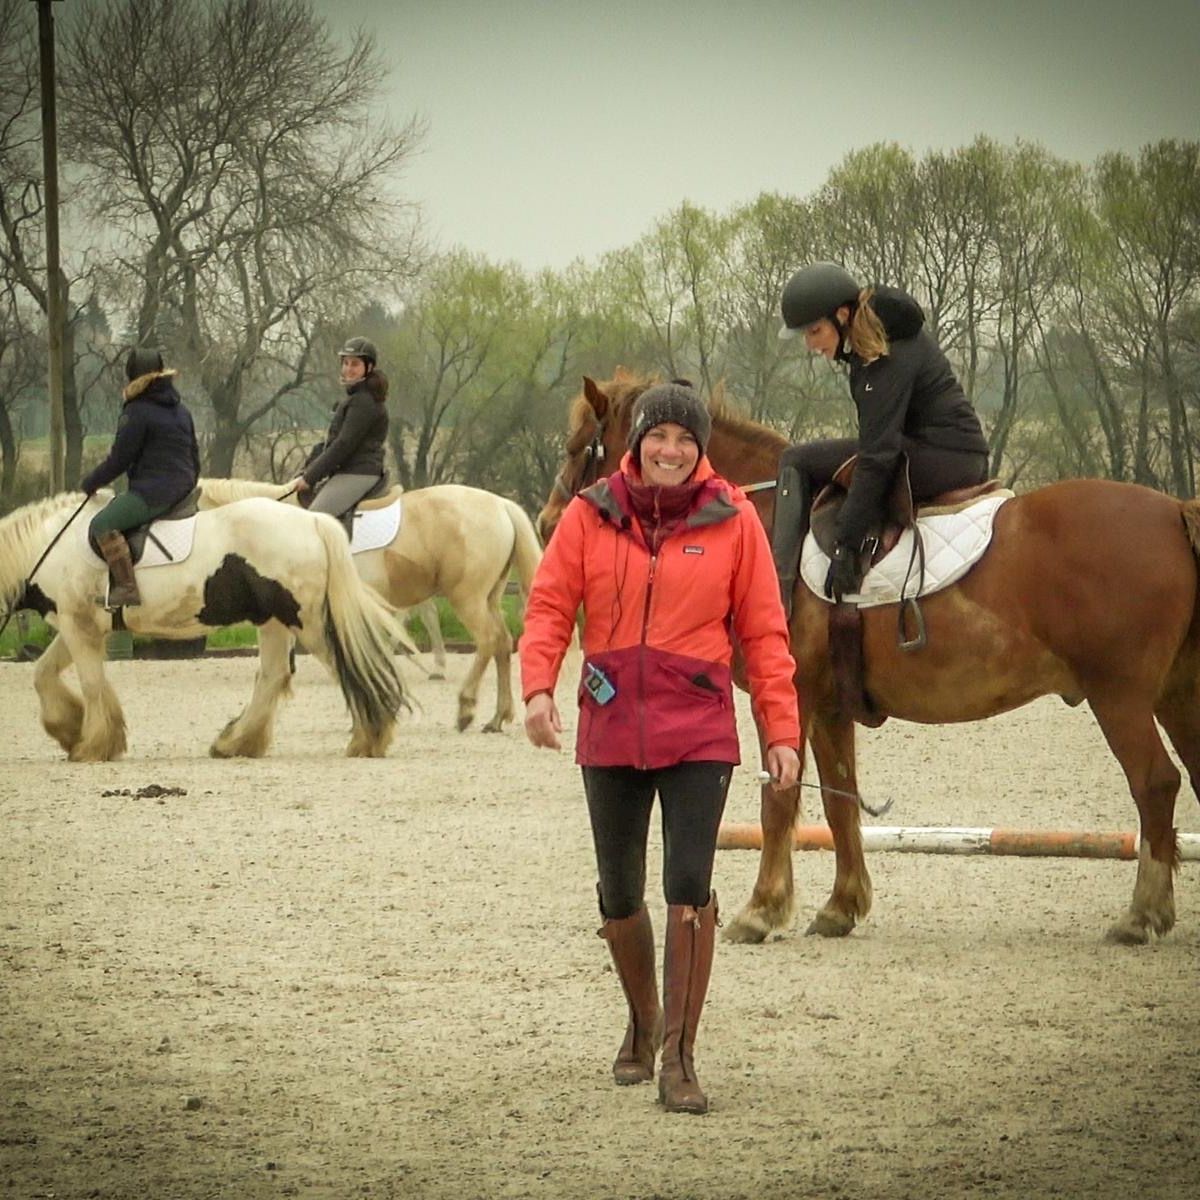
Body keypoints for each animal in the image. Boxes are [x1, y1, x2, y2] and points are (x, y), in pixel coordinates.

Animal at [1, 492, 411, 761]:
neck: (47, 546)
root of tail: (313, 520)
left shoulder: (79, 624)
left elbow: (90, 683)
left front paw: (92, 744)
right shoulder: (75, 627)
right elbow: (43, 673)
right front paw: (70, 729)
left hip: (305, 622)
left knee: (352, 667)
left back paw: (369, 739)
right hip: (274, 621)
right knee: (273, 675)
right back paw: (237, 743)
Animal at [199, 480, 543, 732]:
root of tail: (501, 504)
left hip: (466, 597)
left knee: (488, 641)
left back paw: (466, 708)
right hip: (488, 597)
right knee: (503, 643)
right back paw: (497, 717)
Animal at [539, 372, 1200, 946]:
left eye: (580, 448)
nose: (547, 524)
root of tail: (1172, 510)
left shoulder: (792, 698)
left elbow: (780, 800)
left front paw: (761, 910)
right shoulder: (830, 706)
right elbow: (839, 801)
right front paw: (841, 906)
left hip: (1119, 698)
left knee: (1155, 784)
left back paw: (1142, 915)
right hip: (1175, 696)